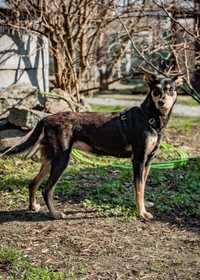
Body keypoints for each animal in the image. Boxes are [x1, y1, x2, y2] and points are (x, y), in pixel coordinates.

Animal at [2, 74, 178, 221]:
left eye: (170, 89)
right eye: (156, 90)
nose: (162, 102)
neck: (150, 117)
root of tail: (46, 119)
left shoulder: (148, 160)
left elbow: (142, 186)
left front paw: (143, 207)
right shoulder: (139, 160)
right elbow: (139, 188)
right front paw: (141, 213)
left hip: (50, 159)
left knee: (33, 183)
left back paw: (33, 207)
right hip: (61, 160)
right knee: (47, 190)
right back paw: (55, 214)